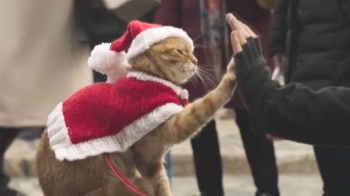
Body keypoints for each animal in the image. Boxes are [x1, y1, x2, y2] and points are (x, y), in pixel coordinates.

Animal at [35, 37, 237, 196]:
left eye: (192, 52)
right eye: (180, 51)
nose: (196, 60)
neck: (150, 76)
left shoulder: (149, 160)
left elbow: (162, 185)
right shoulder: (167, 125)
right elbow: (208, 103)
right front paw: (231, 75)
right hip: (121, 185)